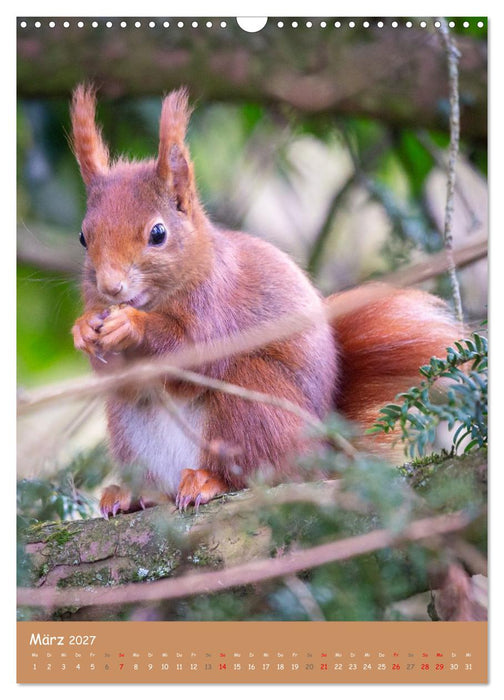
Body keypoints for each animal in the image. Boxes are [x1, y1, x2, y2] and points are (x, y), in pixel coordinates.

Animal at [70, 85, 462, 517]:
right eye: (83, 237)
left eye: (158, 233)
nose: (111, 287)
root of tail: (320, 454)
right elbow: (119, 379)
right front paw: (84, 329)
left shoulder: (217, 304)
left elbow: (192, 350)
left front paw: (131, 325)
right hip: (129, 429)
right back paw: (130, 494)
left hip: (253, 402)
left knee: (253, 470)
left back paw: (208, 480)